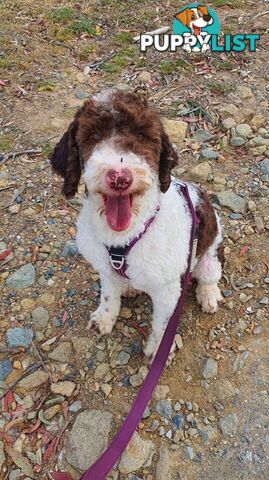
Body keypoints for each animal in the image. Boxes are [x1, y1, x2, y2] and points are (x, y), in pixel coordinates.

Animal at [50, 90, 222, 360]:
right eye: (94, 135)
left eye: (142, 136)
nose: (120, 178)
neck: (125, 238)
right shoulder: (105, 268)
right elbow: (108, 295)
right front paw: (104, 319)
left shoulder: (168, 290)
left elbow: (162, 324)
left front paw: (158, 349)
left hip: (210, 256)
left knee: (209, 277)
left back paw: (209, 295)